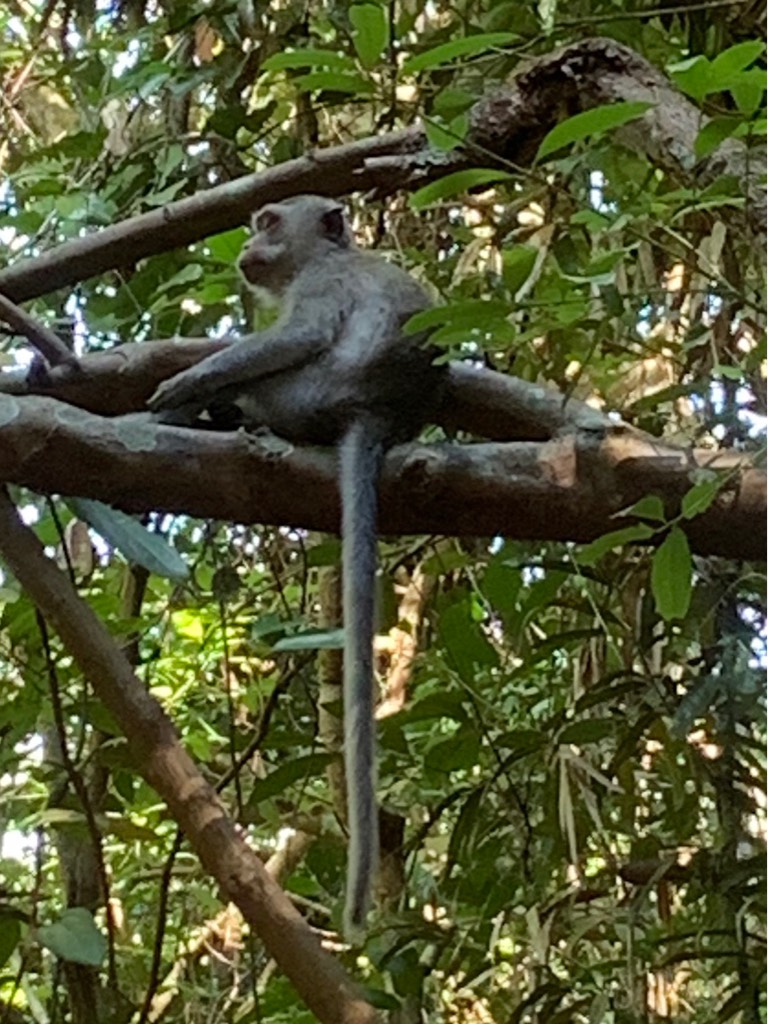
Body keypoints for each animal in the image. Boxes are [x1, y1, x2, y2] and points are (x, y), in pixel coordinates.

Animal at [148, 192, 448, 937]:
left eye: (269, 222)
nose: (246, 249)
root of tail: (376, 411)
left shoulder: (320, 288)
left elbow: (297, 336)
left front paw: (183, 381)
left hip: (303, 395)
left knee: (272, 377)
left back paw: (211, 411)